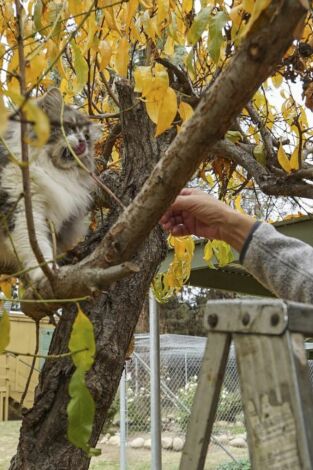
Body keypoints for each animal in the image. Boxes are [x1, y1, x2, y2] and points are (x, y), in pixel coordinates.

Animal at [0, 88, 95, 282]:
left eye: (87, 136)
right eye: (70, 127)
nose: (82, 141)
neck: (47, 167)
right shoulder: (19, 205)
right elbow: (34, 246)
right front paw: (44, 271)